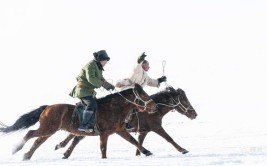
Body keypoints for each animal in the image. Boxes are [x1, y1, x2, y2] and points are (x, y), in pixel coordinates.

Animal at [0, 83, 157, 160]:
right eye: (143, 95)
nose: (154, 106)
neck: (113, 108)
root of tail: (47, 107)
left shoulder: (120, 130)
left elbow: (133, 141)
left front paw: (147, 152)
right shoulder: (104, 133)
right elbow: (103, 148)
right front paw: (104, 159)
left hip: (48, 131)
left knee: (37, 141)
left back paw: (26, 155)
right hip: (47, 129)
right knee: (30, 134)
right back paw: (17, 149)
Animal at [54, 86, 198, 159]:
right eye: (184, 100)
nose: (194, 114)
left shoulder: (142, 132)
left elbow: (138, 143)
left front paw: (140, 154)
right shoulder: (156, 127)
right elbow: (169, 138)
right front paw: (183, 150)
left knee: (76, 138)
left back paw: (64, 150)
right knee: (75, 138)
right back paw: (62, 148)